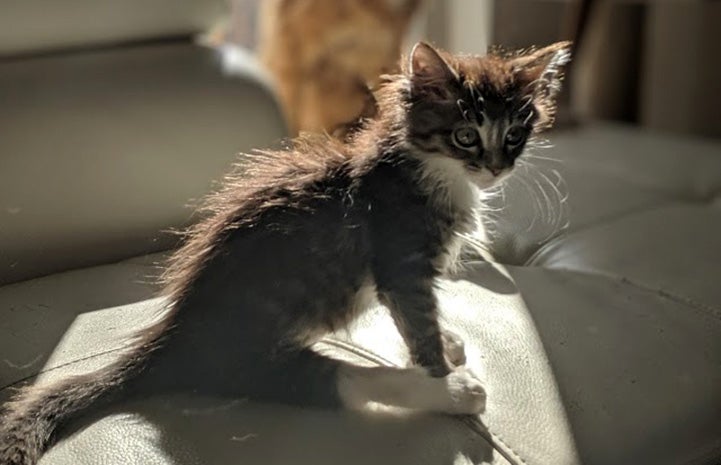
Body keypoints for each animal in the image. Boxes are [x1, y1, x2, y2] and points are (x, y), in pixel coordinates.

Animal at [1, 40, 572, 464]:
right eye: (466, 135)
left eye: (515, 134)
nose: (496, 167)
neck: (432, 169)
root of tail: (172, 337)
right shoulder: (401, 260)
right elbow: (418, 326)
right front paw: (442, 373)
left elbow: (419, 316)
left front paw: (449, 337)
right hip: (249, 359)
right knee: (341, 380)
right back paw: (452, 394)